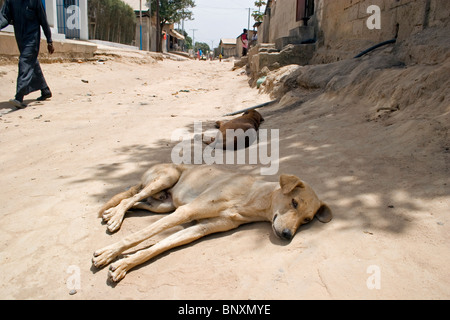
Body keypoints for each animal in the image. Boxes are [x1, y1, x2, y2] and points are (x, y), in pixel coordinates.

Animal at [92, 164, 330, 282]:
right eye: (294, 202)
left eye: (307, 220)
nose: (288, 235)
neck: (252, 199)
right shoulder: (186, 212)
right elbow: (139, 236)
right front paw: (109, 253)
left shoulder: (199, 228)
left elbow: (158, 247)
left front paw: (125, 264)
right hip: (165, 179)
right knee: (131, 197)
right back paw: (115, 217)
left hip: (162, 205)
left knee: (135, 201)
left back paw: (112, 213)